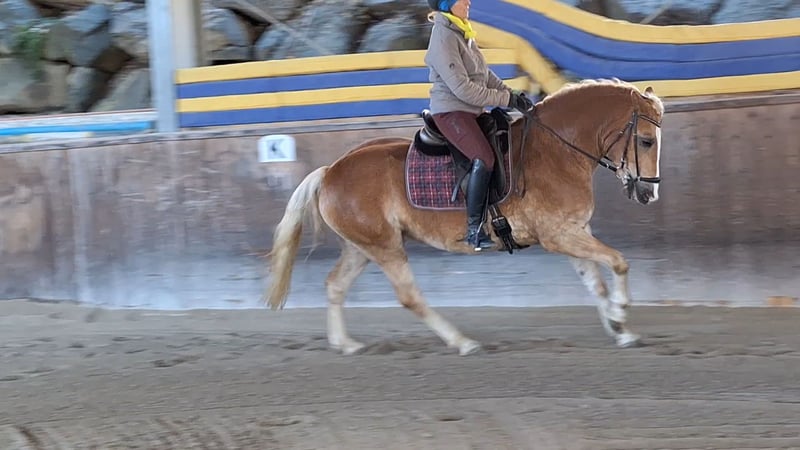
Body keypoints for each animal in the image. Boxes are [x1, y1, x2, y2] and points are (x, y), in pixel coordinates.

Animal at [264, 78, 664, 356]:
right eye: (646, 141)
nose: (649, 193)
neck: (555, 151)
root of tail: (331, 170)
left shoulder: (573, 232)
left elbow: (596, 283)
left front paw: (619, 329)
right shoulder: (560, 236)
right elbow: (619, 262)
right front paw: (620, 313)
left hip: (361, 247)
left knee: (335, 285)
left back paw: (345, 344)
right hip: (385, 248)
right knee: (409, 296)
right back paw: (462, 342)